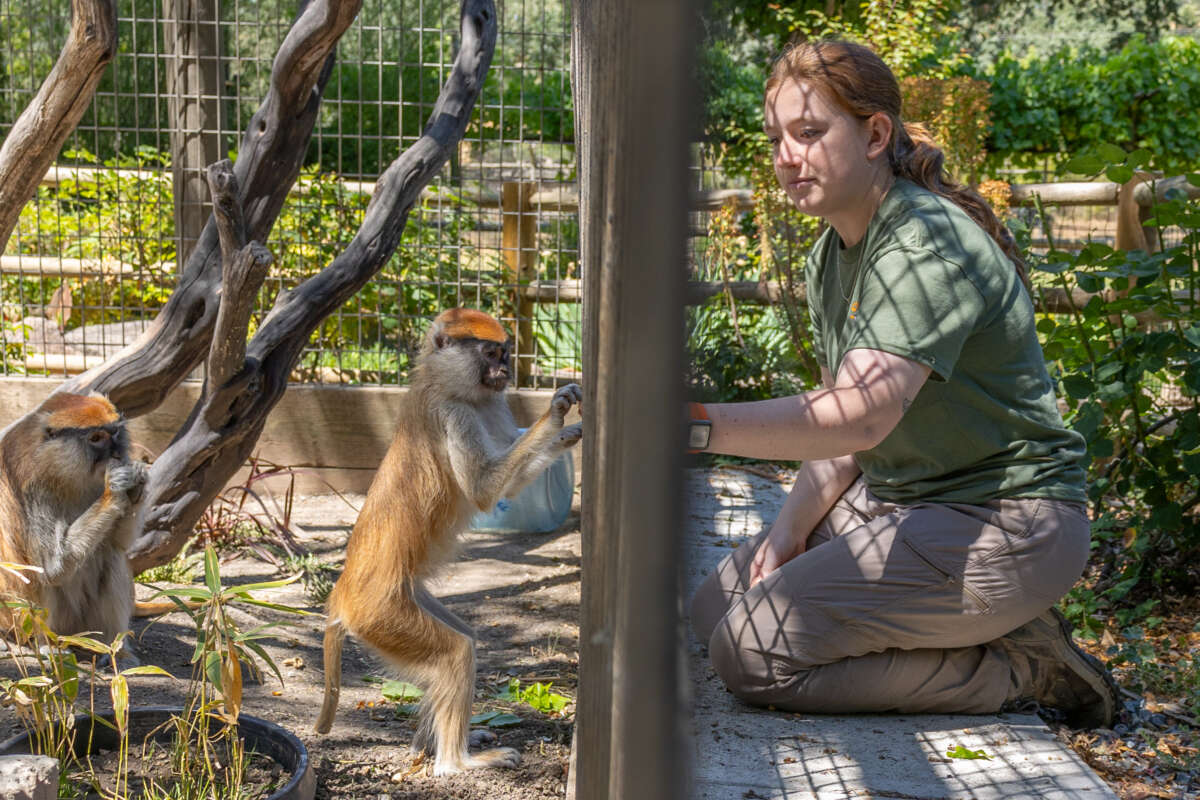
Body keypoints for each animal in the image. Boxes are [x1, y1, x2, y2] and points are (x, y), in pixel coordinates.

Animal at [0, 392, 148, 656]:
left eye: (115, 433)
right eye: (96, 438)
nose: (117, 454)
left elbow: (119, 543)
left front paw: (138, 482)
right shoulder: (33, 490)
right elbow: (53, 567)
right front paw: (116, 488)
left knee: (110, 554)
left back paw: (115, 650)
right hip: (23, 619)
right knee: (42, 577)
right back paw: (48, 645)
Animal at [315, 307, 583, 776]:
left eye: (505, 351)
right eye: (490, 353)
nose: (505, 369)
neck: (443, 382)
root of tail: (342, 596)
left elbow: (508, 487)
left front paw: (563, 434)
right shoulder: (454, 415)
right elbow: (484, 489)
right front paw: (558, 413)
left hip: (399, 605)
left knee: (463, 639)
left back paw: (434, 744)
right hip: (382, 614)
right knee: (455, 652)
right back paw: (456, 763)